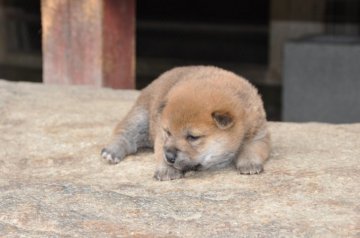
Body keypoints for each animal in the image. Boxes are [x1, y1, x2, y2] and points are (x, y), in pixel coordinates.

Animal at [101, 65, 270, 180]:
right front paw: (167, 170)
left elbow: (251, 148)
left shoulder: (259, 133)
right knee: (124, 134)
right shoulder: (160, 137)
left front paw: (249, 164)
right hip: (140, 117)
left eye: (193, 137)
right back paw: (112, 152)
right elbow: (159, 151)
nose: (169, 156)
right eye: (168, 132)